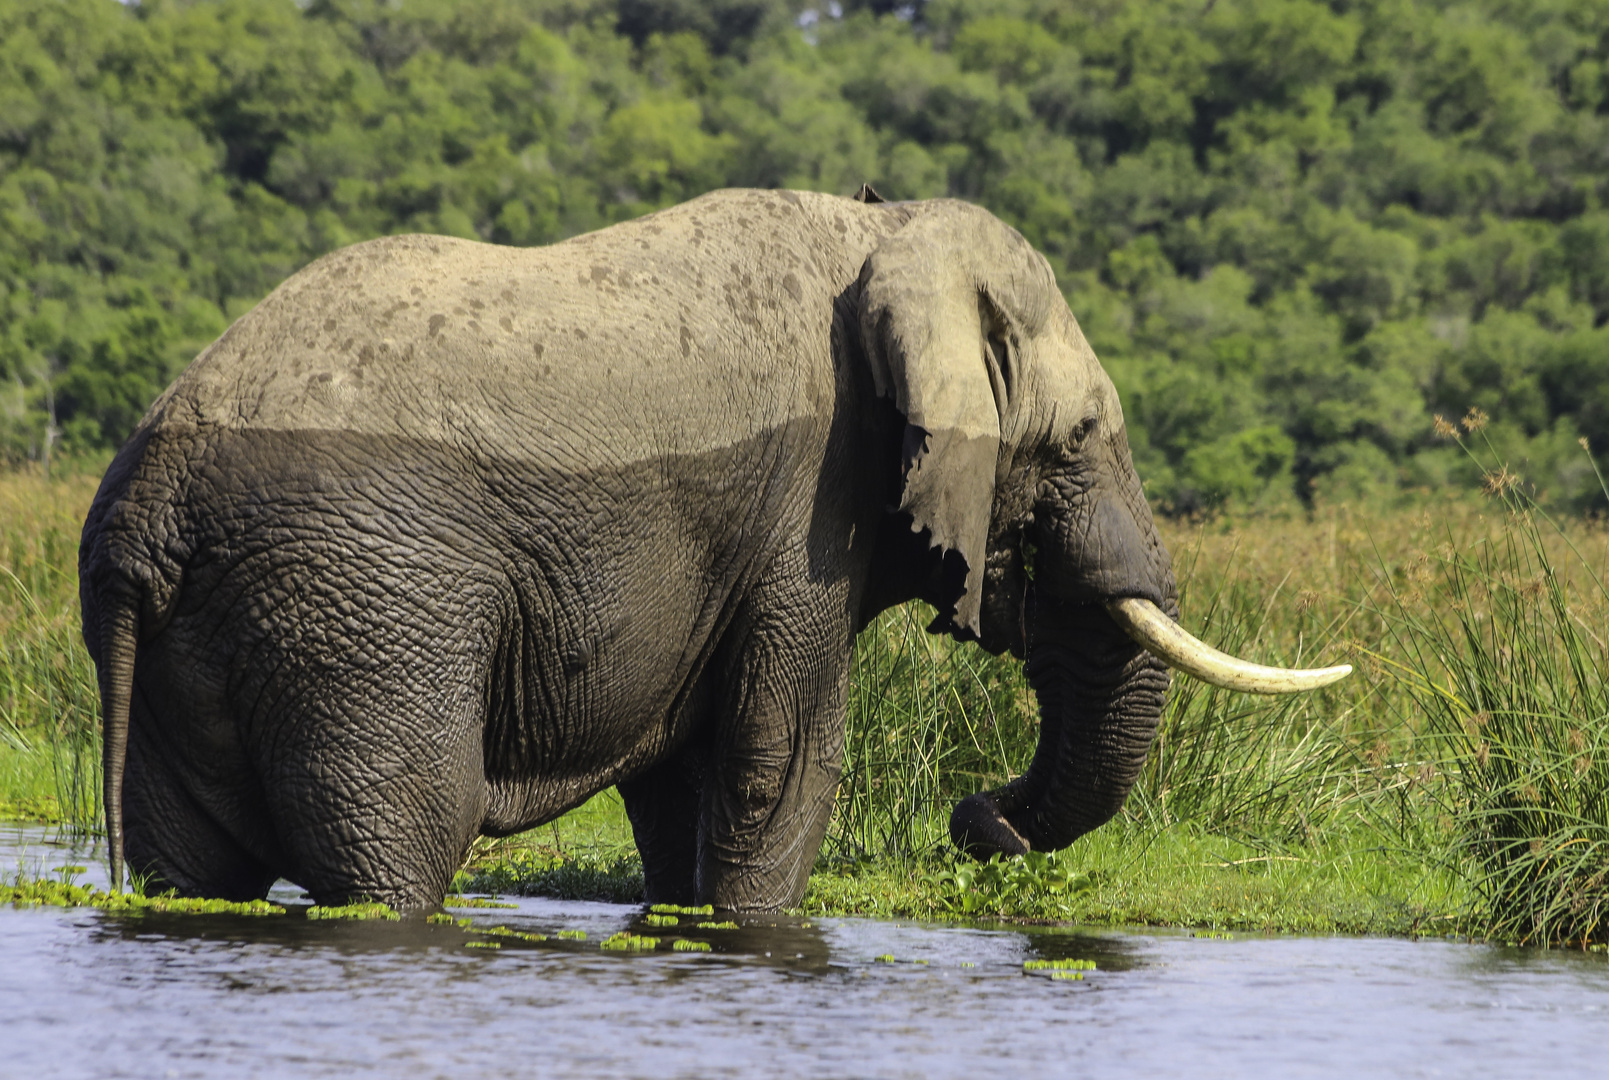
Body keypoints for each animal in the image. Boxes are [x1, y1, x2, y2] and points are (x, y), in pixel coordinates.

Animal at [78, 188, 1345, 914]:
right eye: (1078, 439)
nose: (974, 820)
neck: (883, 229)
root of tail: (154, 506)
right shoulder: (809, 509)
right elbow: (781, 759)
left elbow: (683, 772)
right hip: (365, 614)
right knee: (400, 847)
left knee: (192, 869)